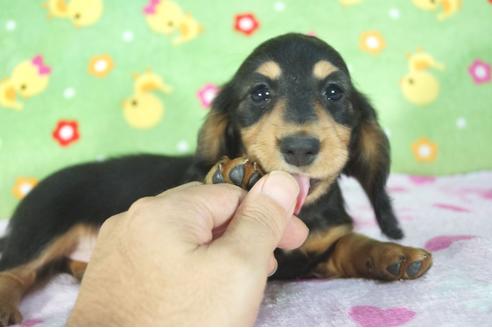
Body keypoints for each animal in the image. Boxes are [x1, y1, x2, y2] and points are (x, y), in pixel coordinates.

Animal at [0, 33, 430, 326]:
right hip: (40, 230)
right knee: (13, 270)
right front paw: (233, 175)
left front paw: (394, 256)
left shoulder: (319, 251)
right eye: (260, 93)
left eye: (334, 92)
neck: (303, 213)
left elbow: (351, 243)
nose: (300, 148)